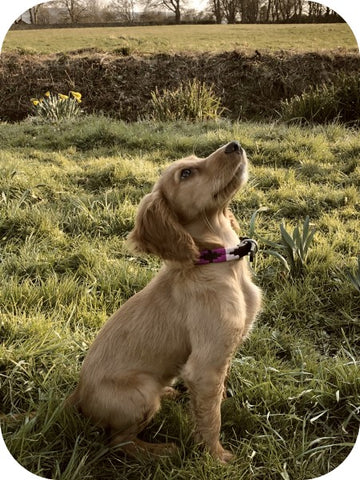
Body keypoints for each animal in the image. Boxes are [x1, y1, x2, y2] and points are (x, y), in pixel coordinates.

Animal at [67, 141, 262, 464]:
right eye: (186, 174)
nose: (234, 145)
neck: (217, 261)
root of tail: (77, 396)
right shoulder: (205, 365)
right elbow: (211, 418)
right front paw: (217, 458)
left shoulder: (219, 359)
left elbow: (212, 400)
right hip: (141, 391)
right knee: (117, 442)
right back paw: (160, 452)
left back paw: (168, 394)